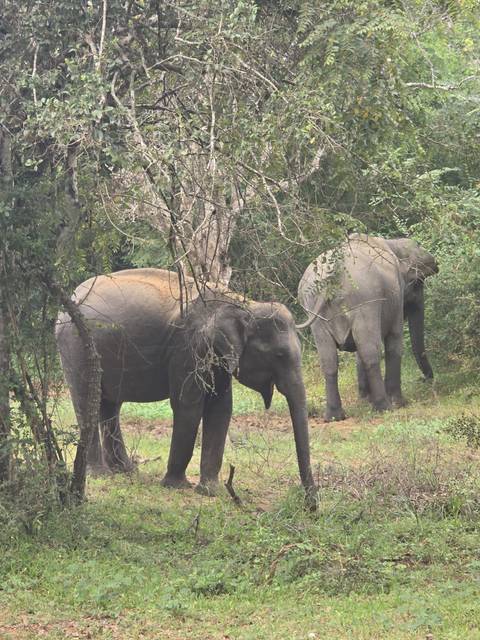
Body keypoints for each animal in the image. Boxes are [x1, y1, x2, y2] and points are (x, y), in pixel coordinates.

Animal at [56, 268, 316, 501]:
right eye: (280, 355)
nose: (309, 503)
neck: (242, 303)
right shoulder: (188, 348)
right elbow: (188, 406)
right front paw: (176, 486)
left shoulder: (217, 356)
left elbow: (221, 408)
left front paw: (210, 491)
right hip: (76, 346)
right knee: (87, 401)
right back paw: (101, 474)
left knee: (110, 405)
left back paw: (126, 471)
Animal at [297, 234, 438, 421]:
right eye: (416, 283)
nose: (424, 380)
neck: (393, 245)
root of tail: (331, 271)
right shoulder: (395, 298)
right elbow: (394, 341)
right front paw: (398, 403)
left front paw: (364, 401)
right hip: (365, 299)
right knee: (370, 351)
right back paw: (384, 407)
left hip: (314, 310)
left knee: (329, 359)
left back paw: (334, 416)